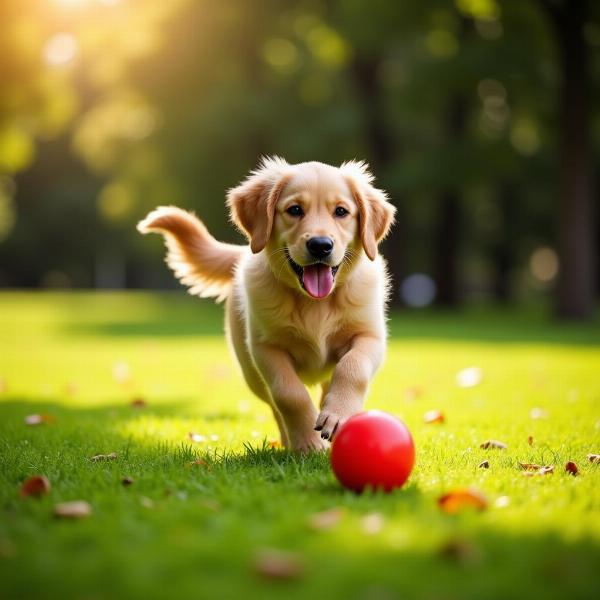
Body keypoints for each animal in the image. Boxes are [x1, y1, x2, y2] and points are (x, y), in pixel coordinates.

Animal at [138, 157, 396, 452]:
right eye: (294, 210)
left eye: (341, 211)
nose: (321, 245)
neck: (314, 303)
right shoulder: (265, 348)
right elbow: (288, 393)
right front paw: (308, 442)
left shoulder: (369, 336)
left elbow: (353, 367)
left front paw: (338, 415)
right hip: (250, 372)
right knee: (274, 403)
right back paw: (290, 439)